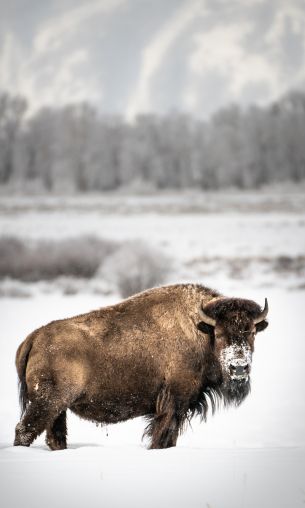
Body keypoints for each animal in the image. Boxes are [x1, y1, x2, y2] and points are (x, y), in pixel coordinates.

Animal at [14, 284, 268, 450]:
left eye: (252, 332)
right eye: (220, 333)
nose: (239, 367)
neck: (201, 330)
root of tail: (34, 337)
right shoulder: (173, 402)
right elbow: (163, 436)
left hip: (58, 408)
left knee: (54, 436)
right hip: (46, 403)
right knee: (24, 430)